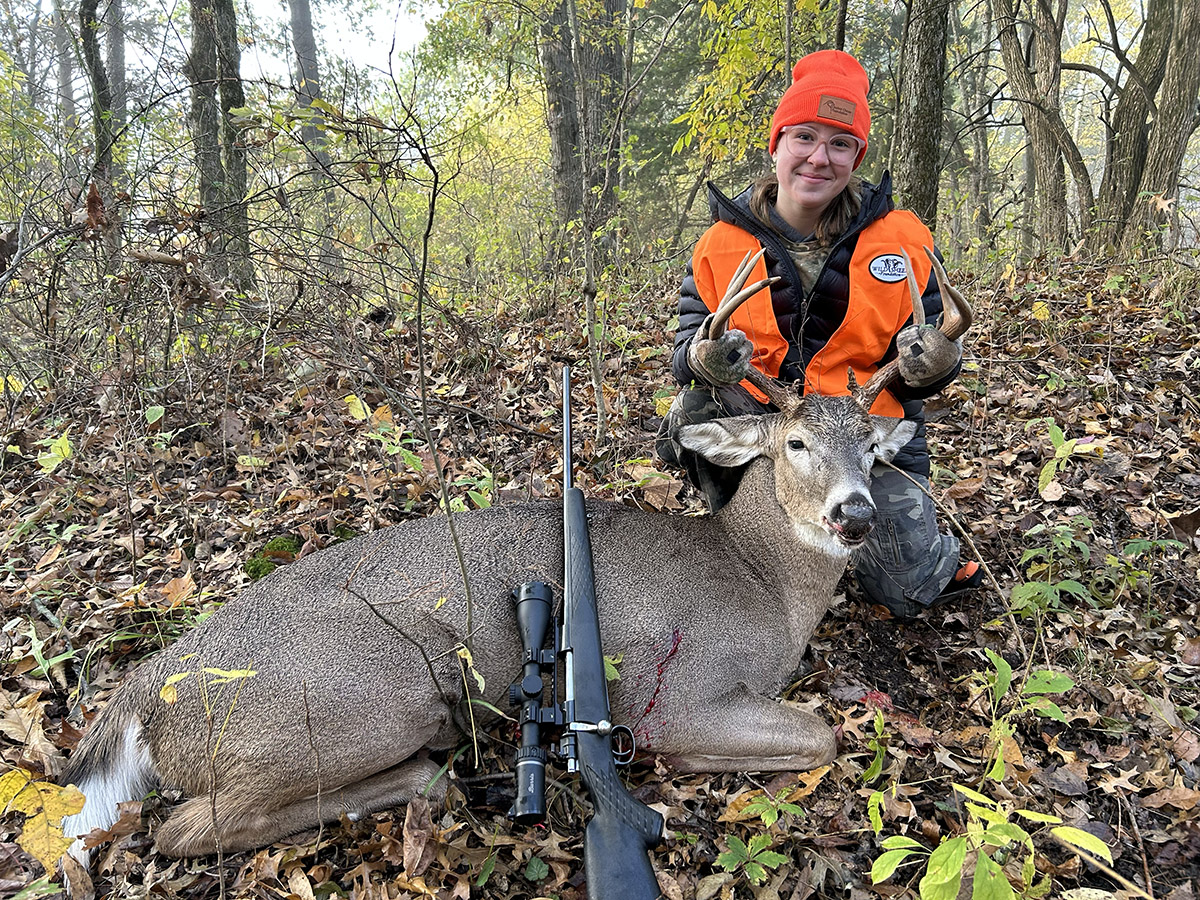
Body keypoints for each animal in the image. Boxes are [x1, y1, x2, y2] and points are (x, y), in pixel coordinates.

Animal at [60, 247, 971, 867]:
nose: (853, 514)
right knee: (188, 827)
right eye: (794, 443)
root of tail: (141, 694)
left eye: (874, 449)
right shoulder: (676, 689)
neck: (763, 583)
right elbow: (821, 735)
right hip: (362, 702)